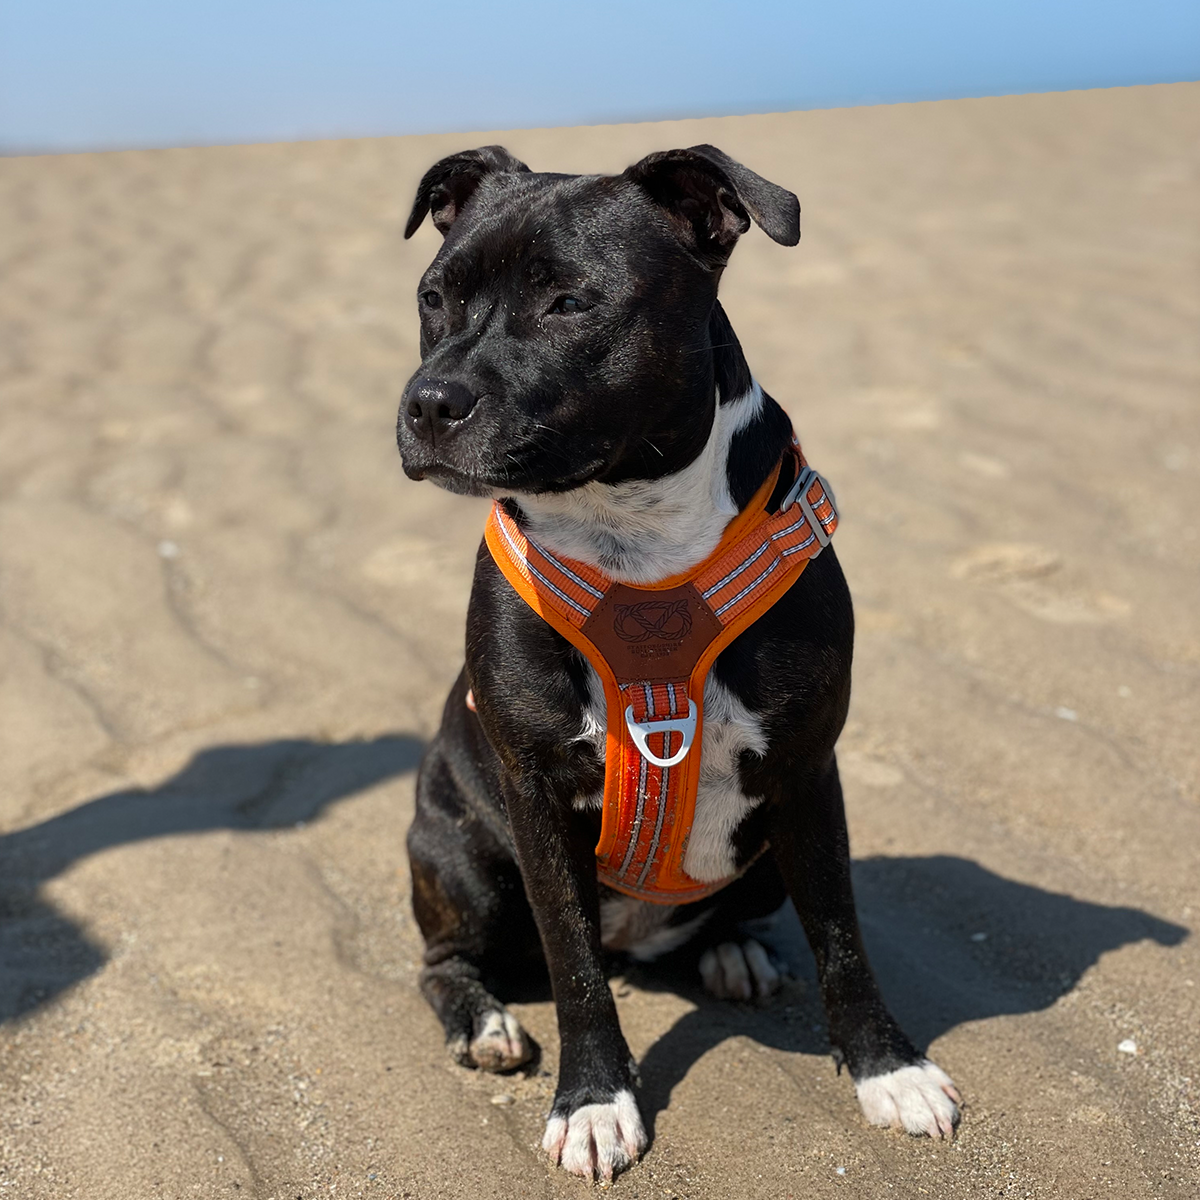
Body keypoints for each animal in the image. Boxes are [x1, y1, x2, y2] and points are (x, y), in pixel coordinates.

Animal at [398, 142, 960, 1180]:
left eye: (570, 302)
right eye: (434, 297)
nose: (428, 402)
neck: (634, 533)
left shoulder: (806, 772)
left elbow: (843, 936)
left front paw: (887, 1069)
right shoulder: (536, 793)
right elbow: (574, 964)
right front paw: (593, 1101)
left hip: (765, 854)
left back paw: (730, 951)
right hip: (463, 856)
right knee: (448, 963)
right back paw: (485, 1021)